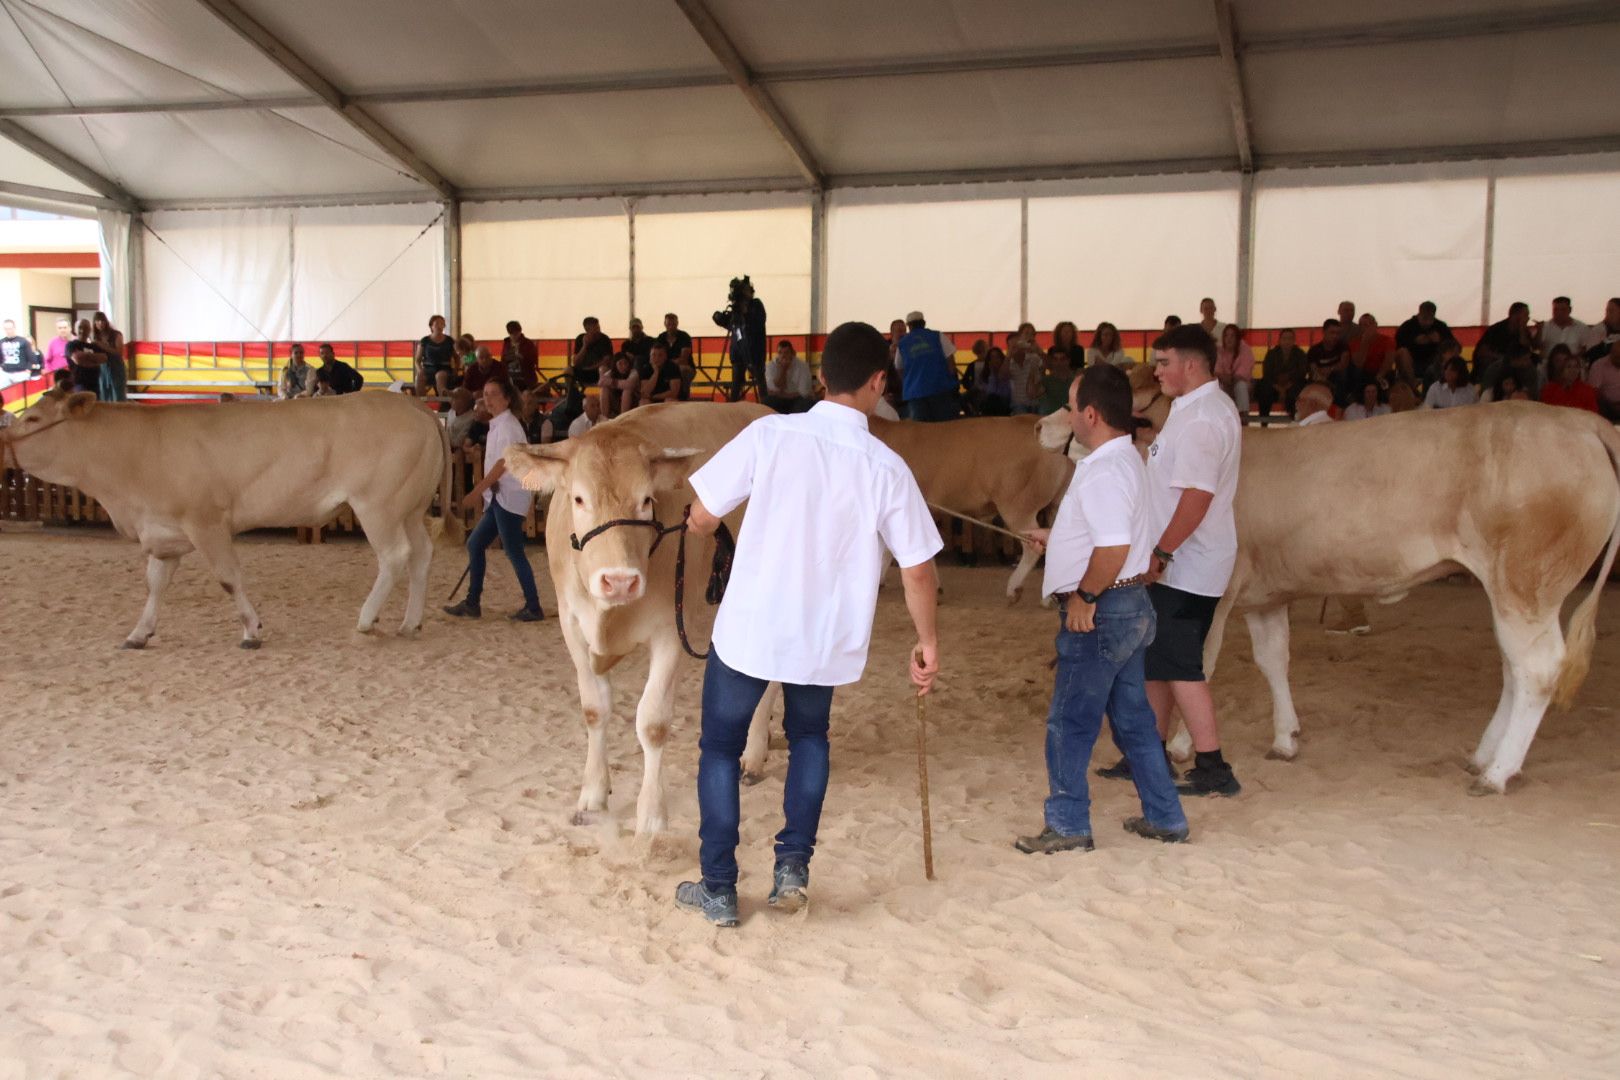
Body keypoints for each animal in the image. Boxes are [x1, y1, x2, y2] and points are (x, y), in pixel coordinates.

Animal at [7, 388, 463, 647]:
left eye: (34, 418)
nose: (3, 439)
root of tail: (414, 406)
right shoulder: (164, 530)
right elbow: (155, 584)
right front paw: (139, 633)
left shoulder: (205, 521)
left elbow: (228, 577)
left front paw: (251, 631)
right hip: (410, 507)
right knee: (421, 554)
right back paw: (410, 623)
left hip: (378, 505)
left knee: (394, 556)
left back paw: (367, 620)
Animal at [502, 401, 767, 835]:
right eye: (578, 499)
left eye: (647, 500)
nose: (620, 580)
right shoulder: (571, 626)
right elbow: (594, 708)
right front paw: (593, 796)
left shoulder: (671, 631)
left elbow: (653, 723)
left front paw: (652, 813)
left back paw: (755, 753)